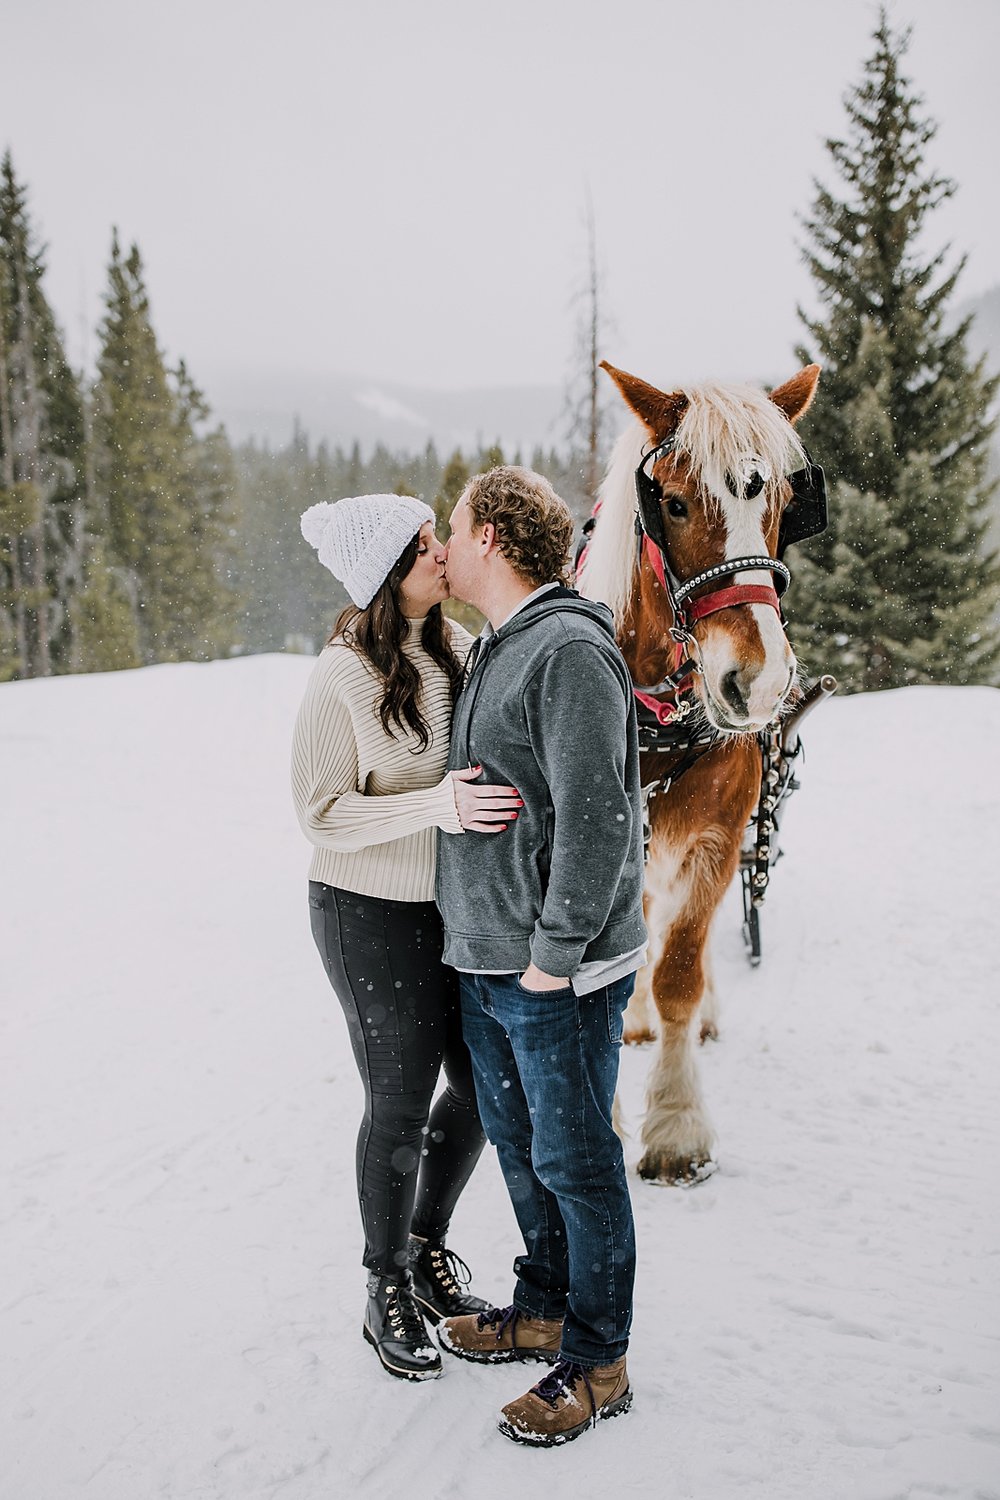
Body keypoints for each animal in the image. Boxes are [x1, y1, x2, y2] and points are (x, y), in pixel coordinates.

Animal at [581, 360, 827, 1182]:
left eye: (782, 503)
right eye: (675, 503)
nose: (758, 680)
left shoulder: (719, 841)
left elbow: (680, 972)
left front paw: (677, 1130)